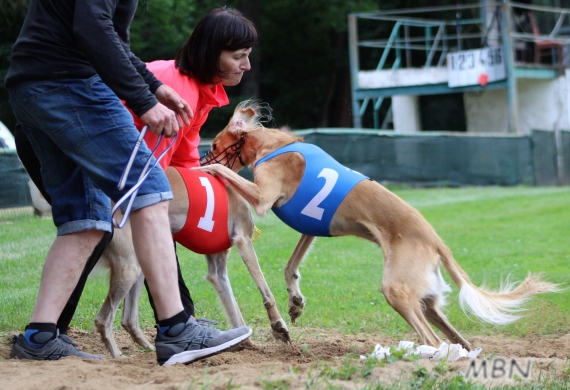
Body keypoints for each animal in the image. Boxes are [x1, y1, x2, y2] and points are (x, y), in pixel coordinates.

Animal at [195, 100, 560, 350]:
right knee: (456, 338)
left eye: (212, 145)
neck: (274, 145)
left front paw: (206, 171)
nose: (201, 157)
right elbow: (290, 267)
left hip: (396, 289)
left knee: (433, 341)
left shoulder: (263, 199)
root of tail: (435, 240)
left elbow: (226, 172)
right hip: (423, 297)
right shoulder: (310, 228)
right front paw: (295, 302)